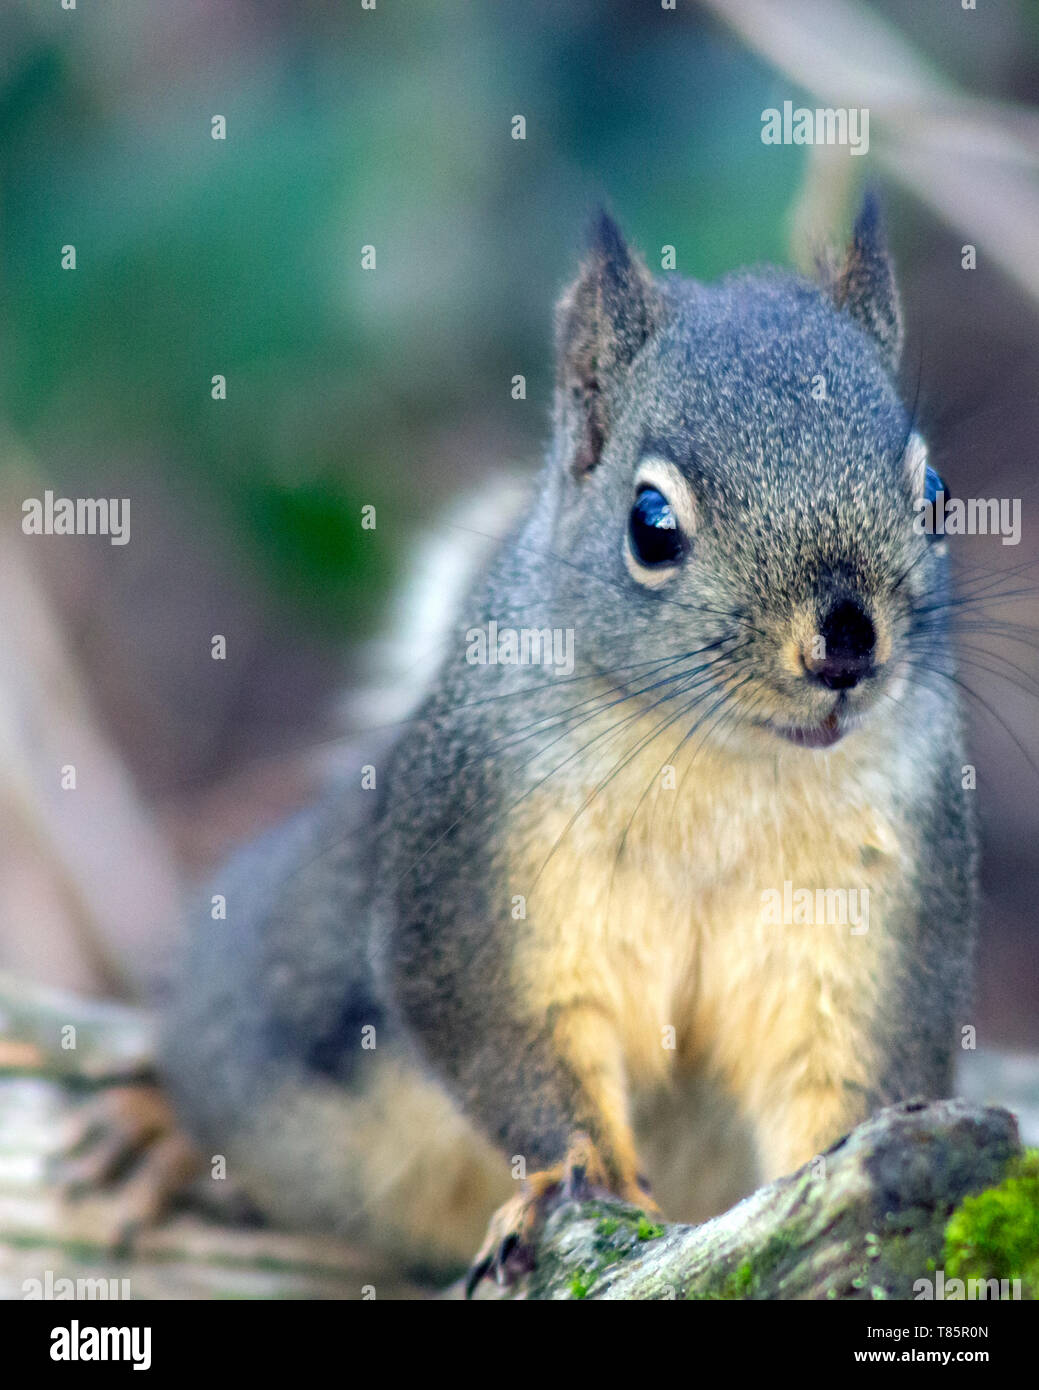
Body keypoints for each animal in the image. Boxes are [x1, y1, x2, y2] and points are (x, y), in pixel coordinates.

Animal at [154, 193, 976, 1292]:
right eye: (651, 522)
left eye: (933, 492)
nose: (845, 644)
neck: (730, 762)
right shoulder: (484, 861)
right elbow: (511, 1038)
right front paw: (581, 1172)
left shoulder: (874, 904)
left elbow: (843, 1076)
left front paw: (838, 1184)